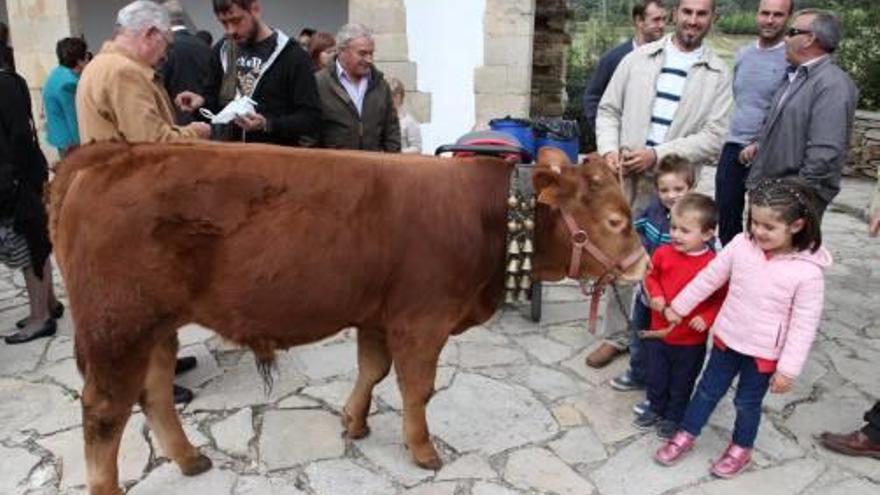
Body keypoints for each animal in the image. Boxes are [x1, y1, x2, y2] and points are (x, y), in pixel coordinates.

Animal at [49, 141, 648, 494]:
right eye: (617, 220)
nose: (644, 264)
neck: (488, 219)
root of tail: (107, 155)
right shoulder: (423, 320)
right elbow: (417, 389)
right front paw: (423, 450)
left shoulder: (378, 315)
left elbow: (372, 371)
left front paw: (354, 422)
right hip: (118, 326)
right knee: (104, 412)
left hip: (156, 327)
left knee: (152, 393)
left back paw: (190, 459)